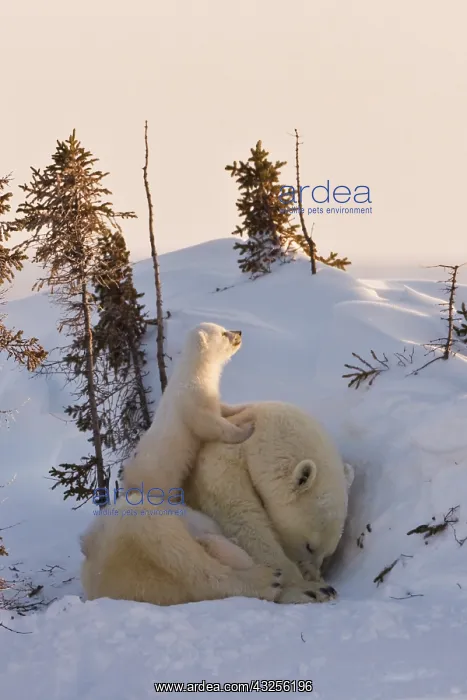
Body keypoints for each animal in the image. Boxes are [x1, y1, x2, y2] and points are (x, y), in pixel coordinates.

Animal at [184, 401, 355, 603]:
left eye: (328, 554)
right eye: (309, 546)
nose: (314, 574)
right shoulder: (219, 470)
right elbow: (245, 523)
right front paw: (311, 589)